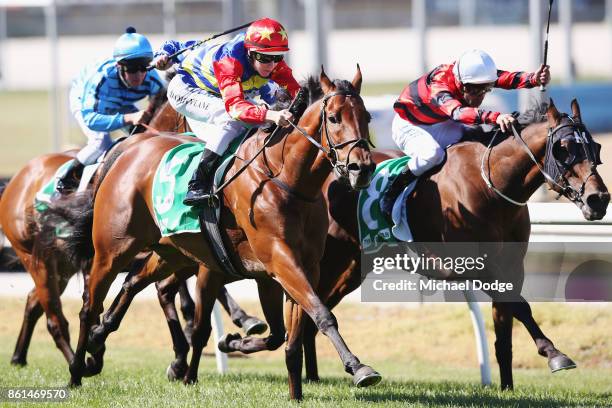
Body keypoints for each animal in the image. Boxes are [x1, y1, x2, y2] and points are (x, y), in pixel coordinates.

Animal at [59, 69, 380, 398]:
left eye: (366, 116)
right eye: (334, 118)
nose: (362, 168)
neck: (286, 179)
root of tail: (130, 148)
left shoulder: (295, 268)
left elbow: (288, 335)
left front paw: (289, 387)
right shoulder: (279, 259)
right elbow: (321, 314)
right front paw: (358, 368)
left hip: (171, 252)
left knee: (134, 283)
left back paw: (100, 336)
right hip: (113, 249)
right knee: (89, 306)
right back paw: (77, 370)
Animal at [300, 99, 608, 388]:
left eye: (595, 147)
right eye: (564, 148)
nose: (598, 199)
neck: (492, 185)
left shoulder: (511, 268)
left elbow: (506, 330)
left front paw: (507, 388)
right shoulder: (472, 268)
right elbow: (521, 307)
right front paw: (555, 354)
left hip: (351, 268)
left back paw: (313, 377)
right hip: (330, 260)